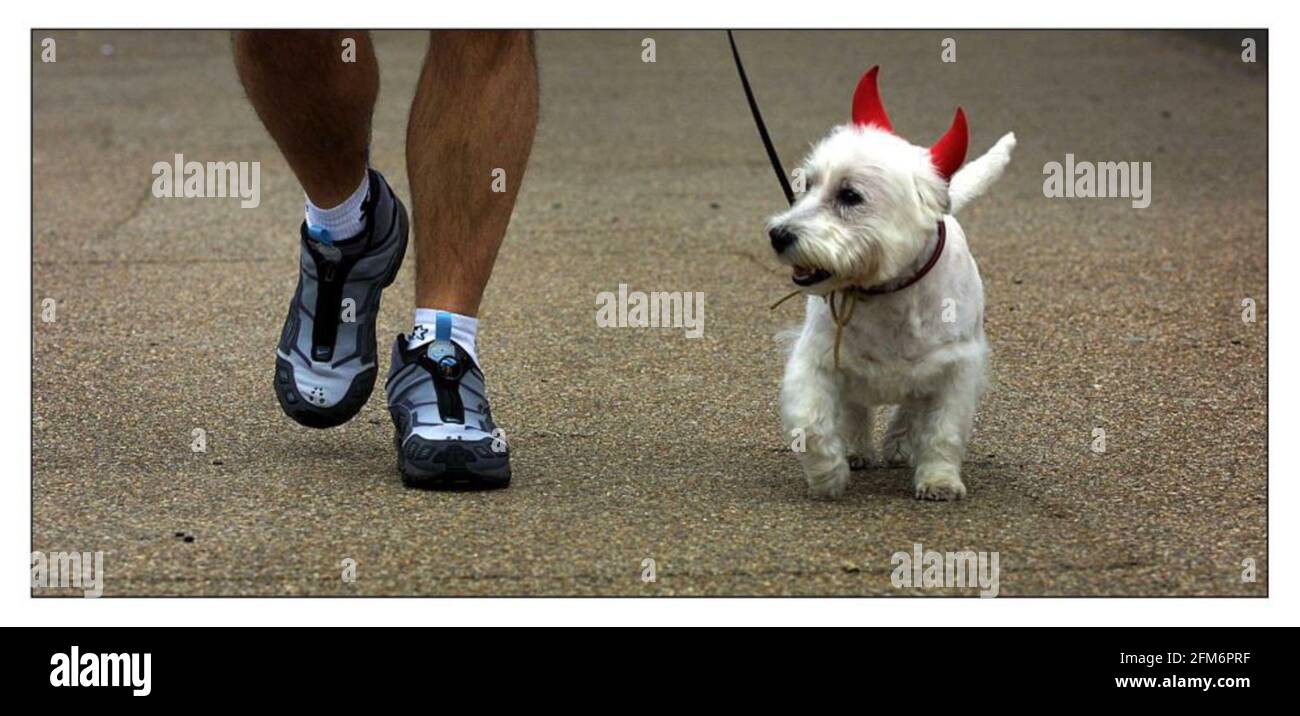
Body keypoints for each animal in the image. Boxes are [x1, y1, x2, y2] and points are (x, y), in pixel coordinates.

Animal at [769, 70, 1013, 501]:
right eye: (807, 184)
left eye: (850, 195)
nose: (778, 235)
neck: (885, 292)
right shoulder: (816, 359)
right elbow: (812, 423)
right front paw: (828, 476)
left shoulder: (956, 367)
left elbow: (943, 431)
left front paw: (939, 480)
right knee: (855, 410)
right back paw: (856, 450)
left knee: (911, 409)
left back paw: (900, 445)